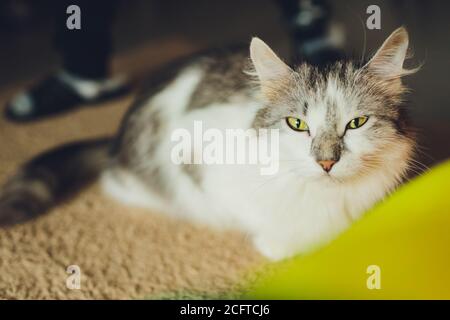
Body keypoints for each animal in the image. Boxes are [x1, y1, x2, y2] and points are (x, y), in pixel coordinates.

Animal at [0, 28, 418, 260]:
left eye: (357, 123)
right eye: (297, 125)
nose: (326, 163)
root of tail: (114, 138)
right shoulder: (200, 163)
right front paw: (278, 246)